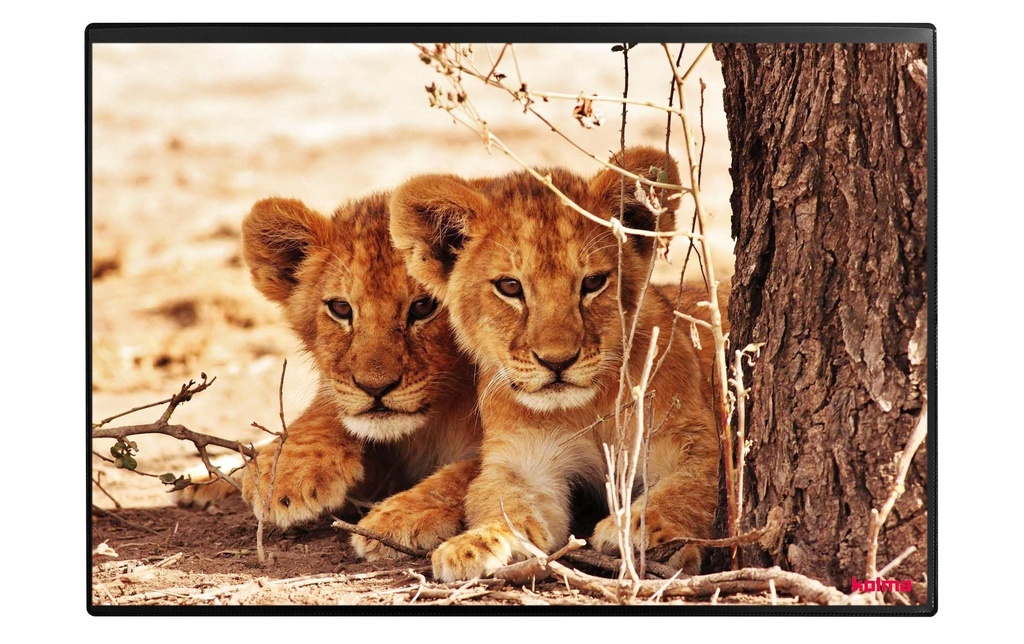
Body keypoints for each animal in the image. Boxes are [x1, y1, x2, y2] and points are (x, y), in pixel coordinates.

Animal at [176, 193, 481, 560]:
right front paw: (286, 471)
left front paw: (400, 517)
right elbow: (325, 409)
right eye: (340, 308)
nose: (375, 388)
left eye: (425, 306)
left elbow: (479, 468)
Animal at [389, 146, 725, 581]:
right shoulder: (523, 461)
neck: (587, 408)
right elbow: (503, 501)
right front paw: (477, 544)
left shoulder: (695, 440)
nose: (558, 361)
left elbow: (688, 488)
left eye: (593, 282)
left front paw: (638, 528)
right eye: (510, 287)